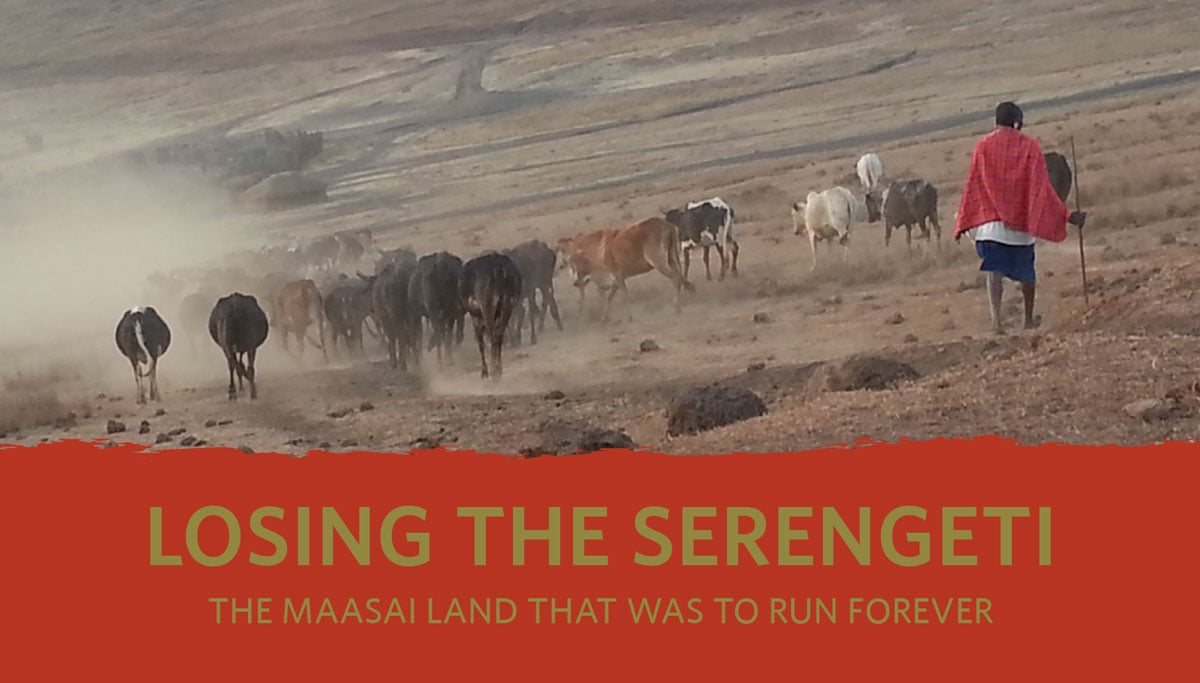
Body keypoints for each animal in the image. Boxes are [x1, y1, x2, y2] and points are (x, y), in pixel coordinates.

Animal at [554, 218, 696, 324]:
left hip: (659, 262)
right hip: (672, 258)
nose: (575, 283)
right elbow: (609, 298)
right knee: (680, 275)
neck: (595, 251)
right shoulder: (615, 281)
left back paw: (677, 306)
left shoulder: (617, 277)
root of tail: (667, 225)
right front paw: (604, 317)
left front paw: (630, 317)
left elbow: (625, 296)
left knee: (675, 277)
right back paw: (691, 293)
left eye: (564, 251)